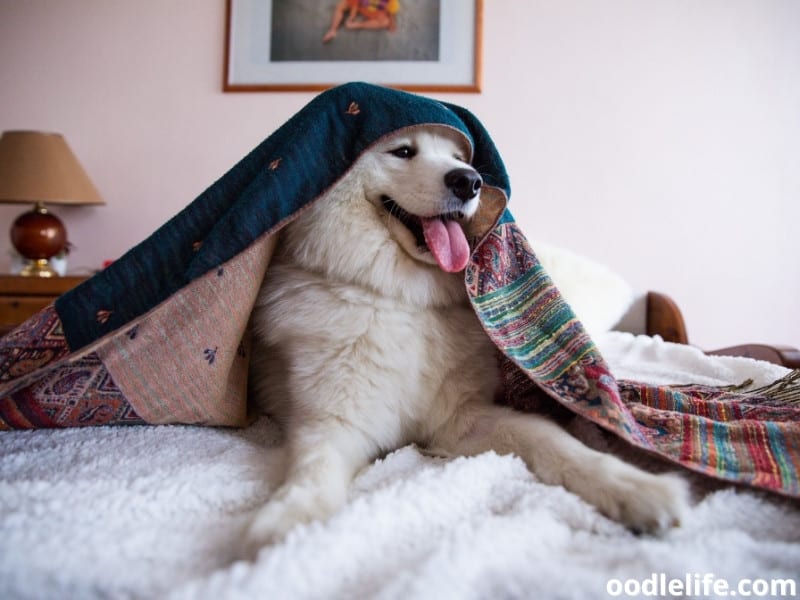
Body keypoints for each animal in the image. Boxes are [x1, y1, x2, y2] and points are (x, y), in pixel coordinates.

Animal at [245, 124, 688, 556]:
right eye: (403, 151)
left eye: (459, 159)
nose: (469, 181)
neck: (404, 298)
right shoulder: (332, 422)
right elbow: (313, 472)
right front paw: (286, 528)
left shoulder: (462, 420)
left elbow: (553, 441)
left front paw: (639, 488)